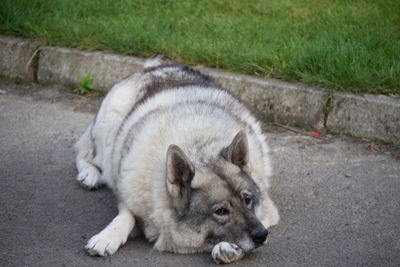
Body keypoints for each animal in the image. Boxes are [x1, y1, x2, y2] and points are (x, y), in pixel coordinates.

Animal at [75, 57, 280, 264]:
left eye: (247, 200)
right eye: (221, 211)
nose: (262, 235)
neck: (198, 149)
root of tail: (154, 67)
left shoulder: (267, 211)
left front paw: (228, 247)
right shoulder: (129, 197)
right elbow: (126, 216)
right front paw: (107, 237)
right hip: (108, 130)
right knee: (84, 154)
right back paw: (90, 175)